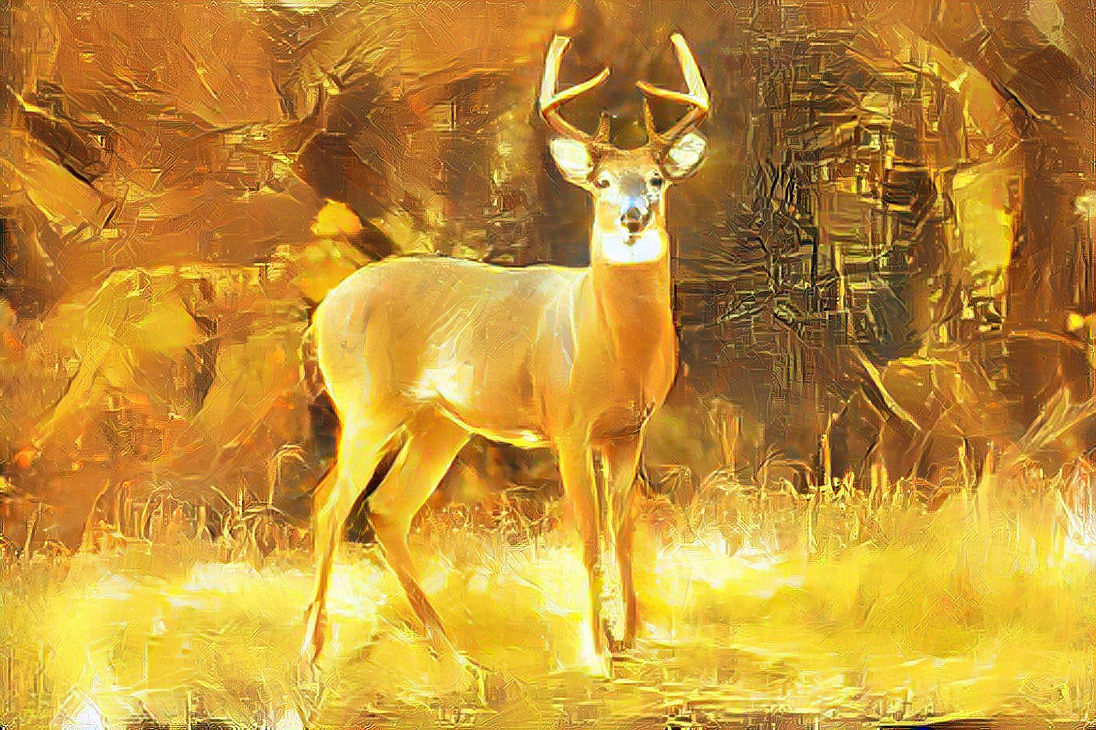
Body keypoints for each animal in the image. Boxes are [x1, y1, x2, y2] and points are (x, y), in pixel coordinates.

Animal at [300, 33, 710, 673]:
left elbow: (624, 532)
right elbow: (588, 535)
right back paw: (314, 652)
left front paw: (632, 640)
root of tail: (321, 315)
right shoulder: (570, 423)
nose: (632, 218)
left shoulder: (628, 430)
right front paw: (596, 653)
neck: (612, 343)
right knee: (330, 504)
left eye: (657, 180)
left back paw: (448, 646)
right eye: (602, 183)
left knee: (386, 508)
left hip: (438, 422)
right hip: (367, 407)